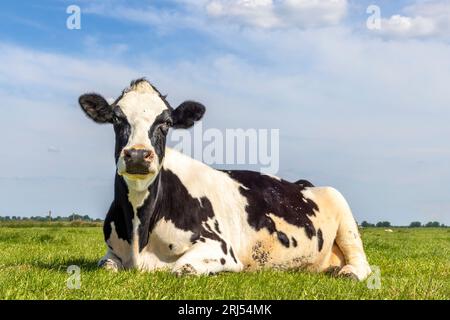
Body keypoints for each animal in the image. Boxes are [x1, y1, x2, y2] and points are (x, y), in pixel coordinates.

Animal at [79, 78, 370, 280]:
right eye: (116, 118)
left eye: (167, 122)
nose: (138, 155)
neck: (140, 232)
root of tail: (303, 183)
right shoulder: (111, 253)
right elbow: (105, 266)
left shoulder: (220, 248)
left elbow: (181, 268)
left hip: (342, 210)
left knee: (361, 261)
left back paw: (348, 273)